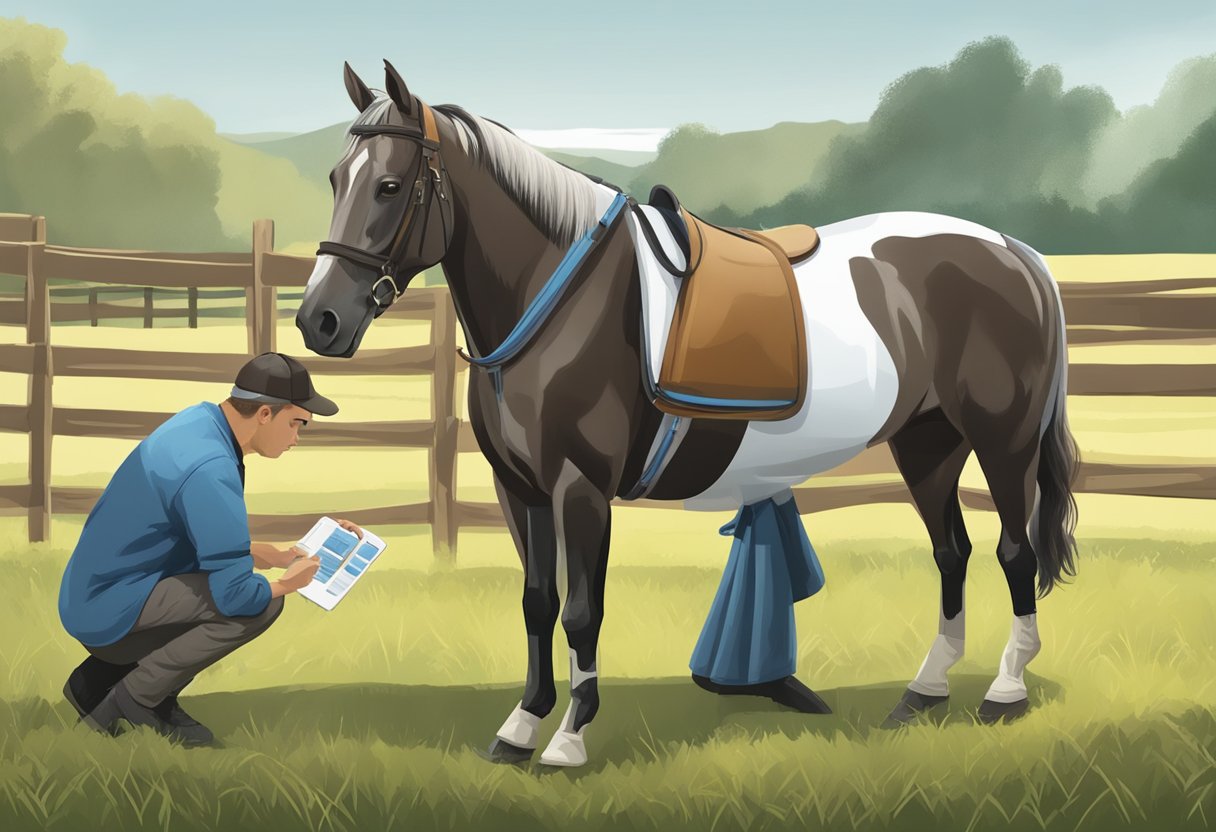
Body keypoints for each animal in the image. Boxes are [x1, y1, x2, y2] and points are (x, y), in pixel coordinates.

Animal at [296, 61, 1084, 768]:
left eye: (389, 185)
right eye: (336, 180)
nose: (319, 320)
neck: (561, 293)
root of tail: (1011, 251)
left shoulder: (580, 489)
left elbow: (581, 609)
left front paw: (570, 737)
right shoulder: (518, 489)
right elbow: (537, 602)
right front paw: (520, 726)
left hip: (1003, 441)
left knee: (1014, 552)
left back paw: (1005, 691)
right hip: (928, 444)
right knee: (952, 553)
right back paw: (924, 691)